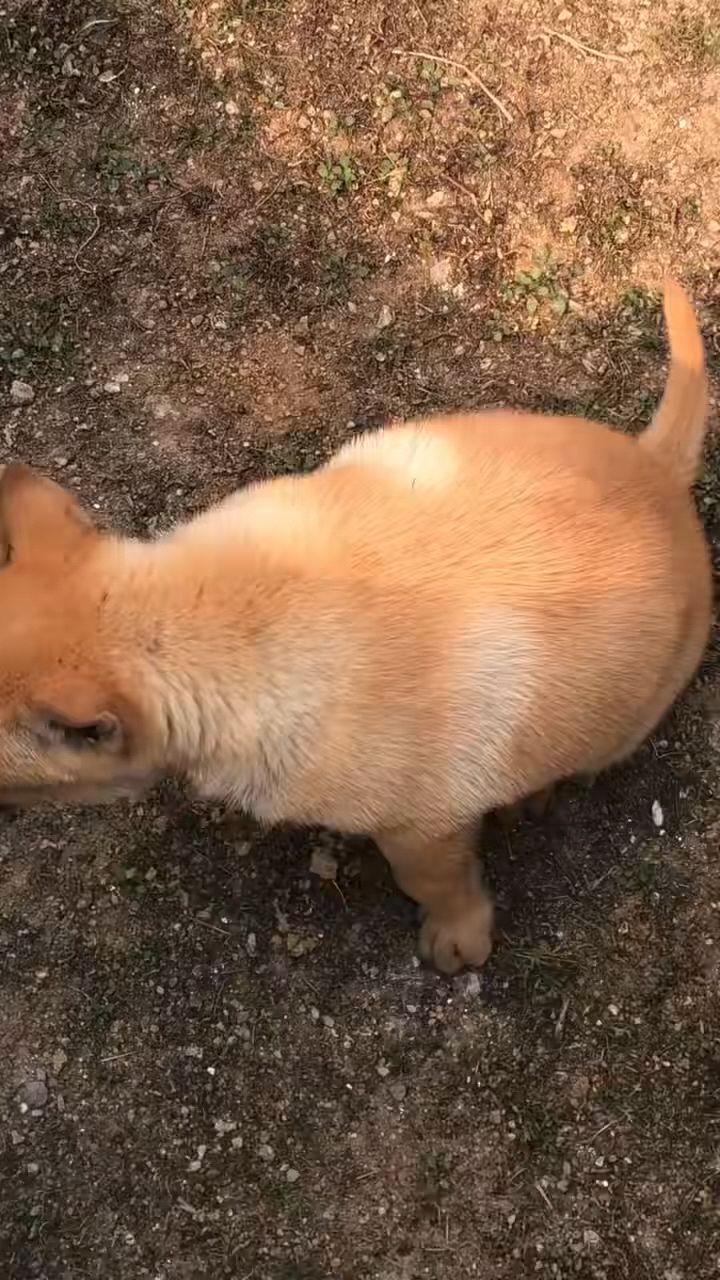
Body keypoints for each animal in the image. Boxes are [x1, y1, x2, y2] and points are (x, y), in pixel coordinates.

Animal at [0, 285, 707, 972]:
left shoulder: (422, 830)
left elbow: (437, 885)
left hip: (622, 724)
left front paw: (458, 941)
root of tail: (660, 468)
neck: (206, 614)